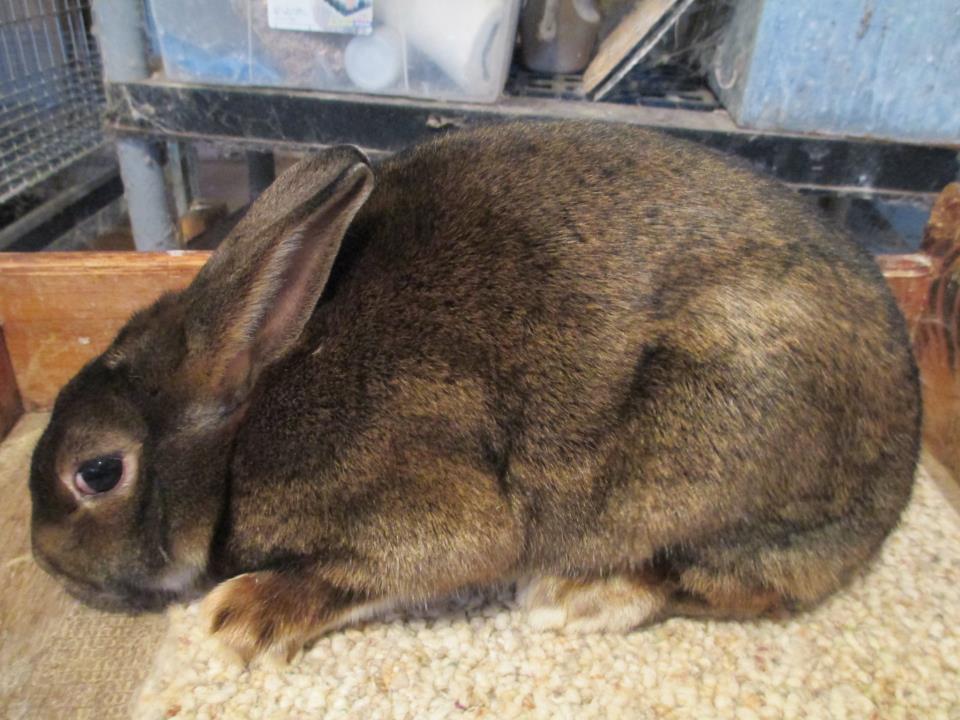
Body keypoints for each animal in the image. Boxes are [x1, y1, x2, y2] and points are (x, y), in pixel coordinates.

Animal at [30, 121, 920, 661]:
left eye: (97, 473)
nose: (45, 559)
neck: (242, 424)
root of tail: (897, 485)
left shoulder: (419, 496)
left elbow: (406, 563)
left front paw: (239, 618)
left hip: (699, 458)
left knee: (736, 583)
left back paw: (581, 596)